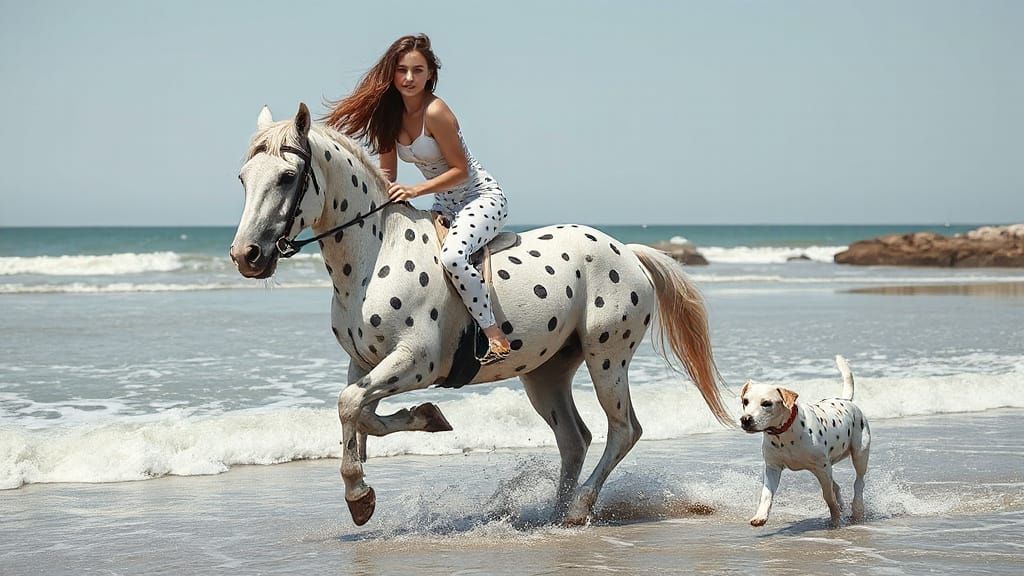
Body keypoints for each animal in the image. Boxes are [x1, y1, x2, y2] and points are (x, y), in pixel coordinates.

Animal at [230, 103, 731, 526]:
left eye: (287, 177)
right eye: (242, 178)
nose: (245, 256)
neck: (374, 254)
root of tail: (629, 251)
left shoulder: (417, 361)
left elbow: (351, 406)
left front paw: (363, 490)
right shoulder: (364, 363)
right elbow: (357, 412)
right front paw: (416, 429)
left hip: (606, 356)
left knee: (623, 430)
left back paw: (578, 509)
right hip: (546, 372)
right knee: (575, 439)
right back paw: (553, 513)